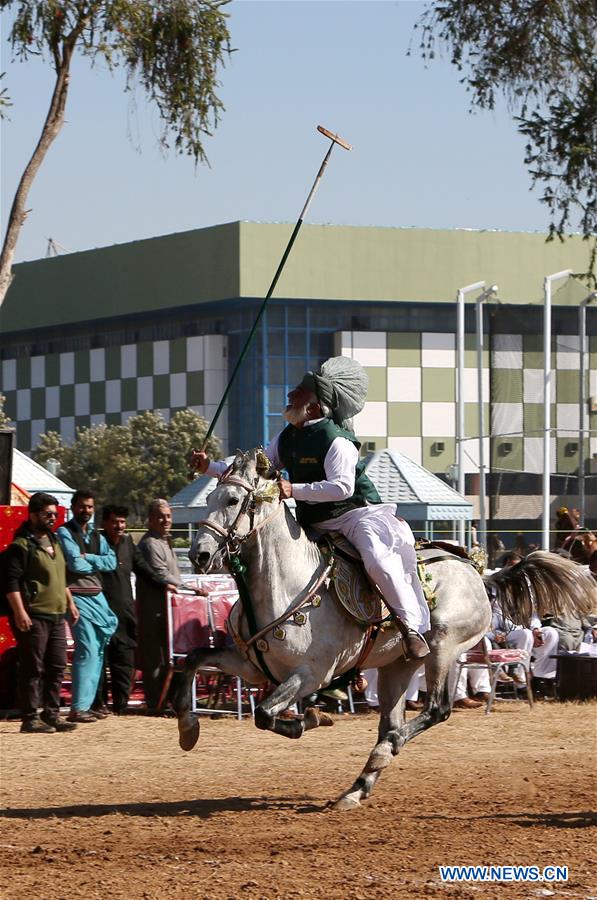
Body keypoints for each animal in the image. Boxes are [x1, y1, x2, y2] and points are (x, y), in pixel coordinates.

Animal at [178, 450, 596, 808]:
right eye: (211, 496)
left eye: (233, 500)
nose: (200, 554)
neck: (285, 585)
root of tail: (478, 572)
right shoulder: (251, 666)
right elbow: (194, 659)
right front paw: (187, 726)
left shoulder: (312, 674)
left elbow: (265, 713)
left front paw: (309, 718)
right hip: (399, 665)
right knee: (391, 721)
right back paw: (358, 786)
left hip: (443, 646)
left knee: (435, 710)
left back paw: (383, 753)